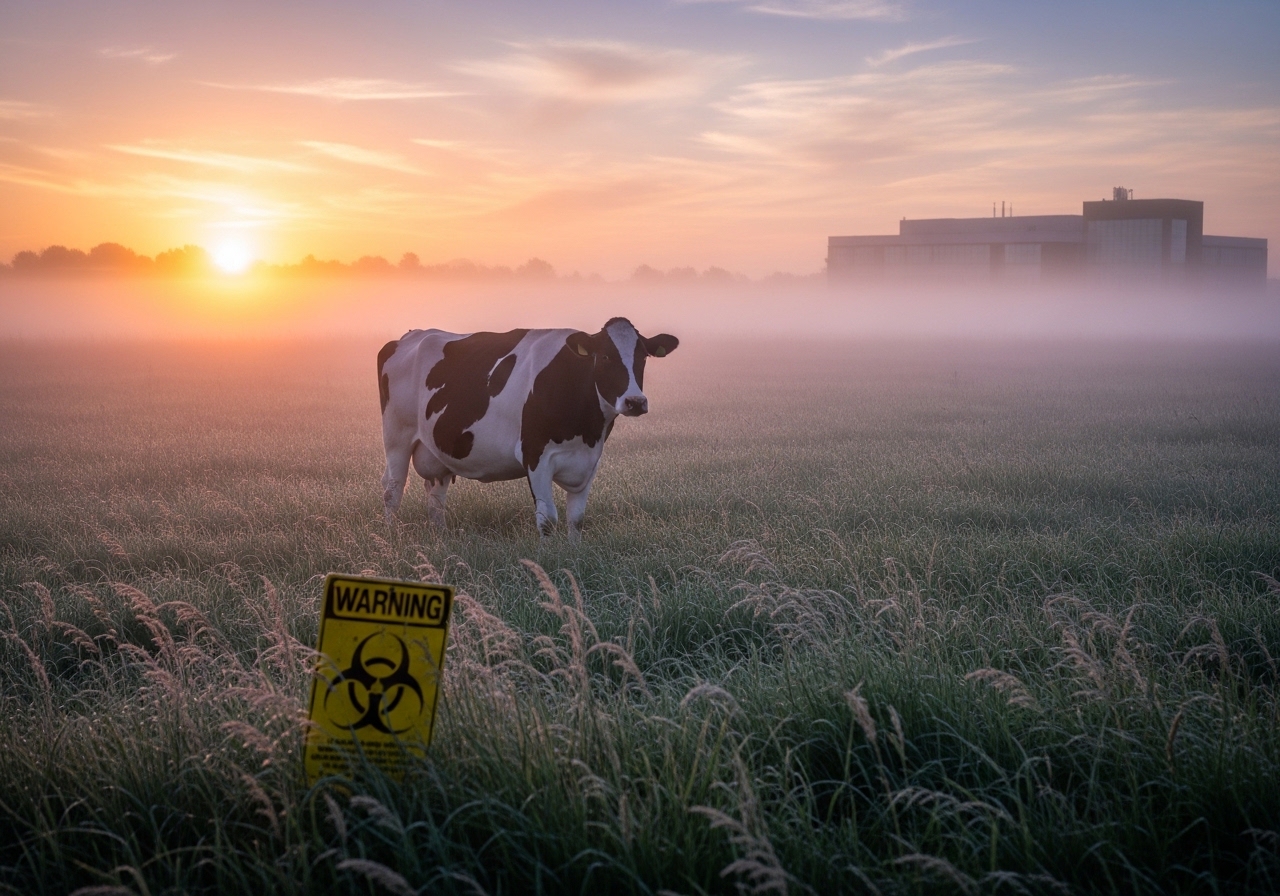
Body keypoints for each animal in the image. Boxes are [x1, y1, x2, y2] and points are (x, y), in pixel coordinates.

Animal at [378, 317, 678, 540]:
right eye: (605, 357)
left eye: (643, 357)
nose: (635, 401)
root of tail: (410, 335)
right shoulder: (536, 456)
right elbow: (548, 520)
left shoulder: (589, 460)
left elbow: (577, 519)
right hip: (397, 439)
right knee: (393, 491)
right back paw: (390, 539)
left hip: (436, 451)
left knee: (436, 499)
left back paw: (441, 538)